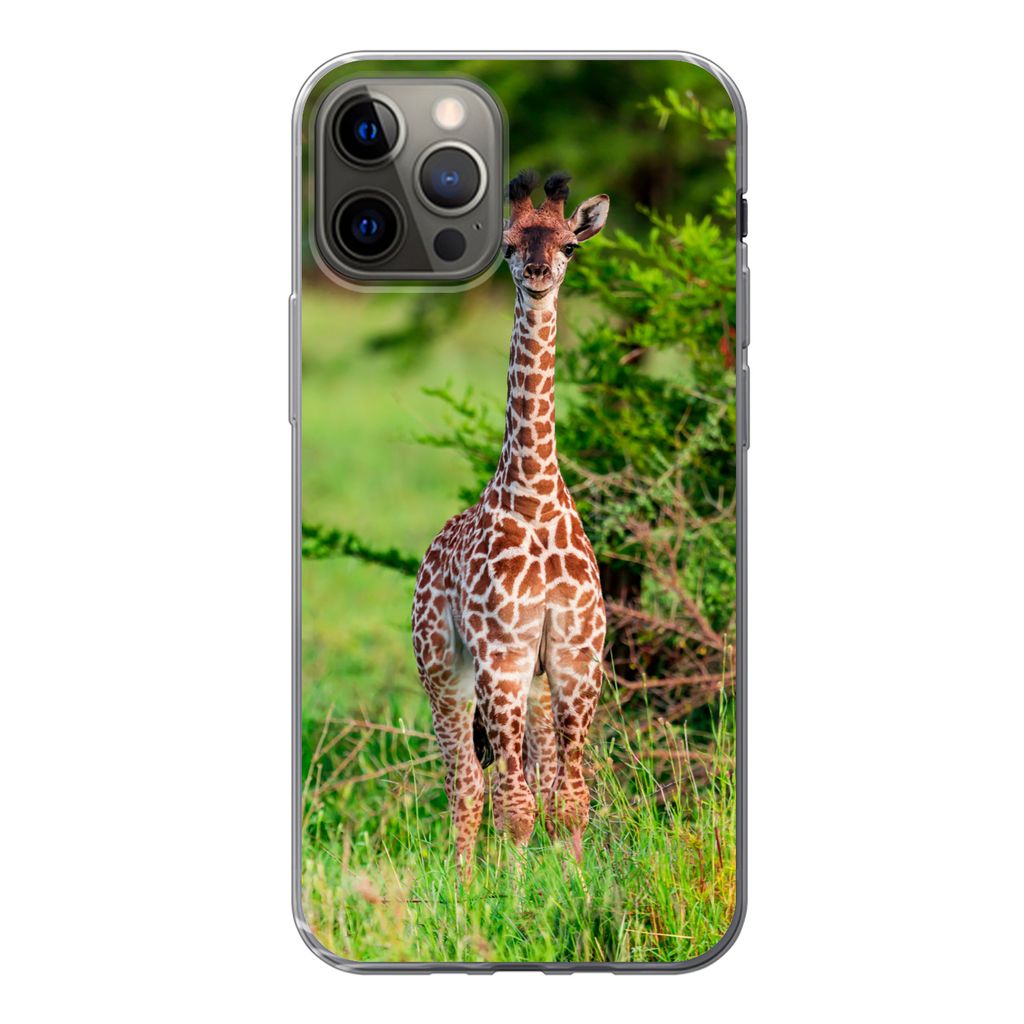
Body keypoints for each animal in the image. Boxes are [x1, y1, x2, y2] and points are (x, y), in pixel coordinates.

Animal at [411, 170, 610, 877]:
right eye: (508, 246)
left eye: (570, 245)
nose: (539, 272)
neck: (535, 494)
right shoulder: (501, 654)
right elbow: (515, 808)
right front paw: (516, 892)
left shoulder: (576, 657)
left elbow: (568, 800)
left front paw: (576, 885)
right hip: (442, 669)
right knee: (467, 782)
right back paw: (466, 884)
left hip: (537, 686)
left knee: (535, 776)